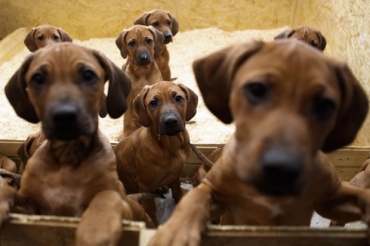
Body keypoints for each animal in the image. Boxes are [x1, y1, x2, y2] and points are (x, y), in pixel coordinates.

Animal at [114, 80, 198, 225]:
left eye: (178, 98)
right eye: (153, 103)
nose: (170, 121)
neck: (170, 143)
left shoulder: (176, 173)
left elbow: (176, 187)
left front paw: (180, 198)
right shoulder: (145, 185)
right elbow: (150, 207)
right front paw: (153, 223)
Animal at [148, 39, 370, 245]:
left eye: (325, 105)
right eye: (256, 89)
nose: (281, 170)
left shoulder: (331, 200)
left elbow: (359, 197)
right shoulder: (215, 192)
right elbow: (196, 198)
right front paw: (175, 231)